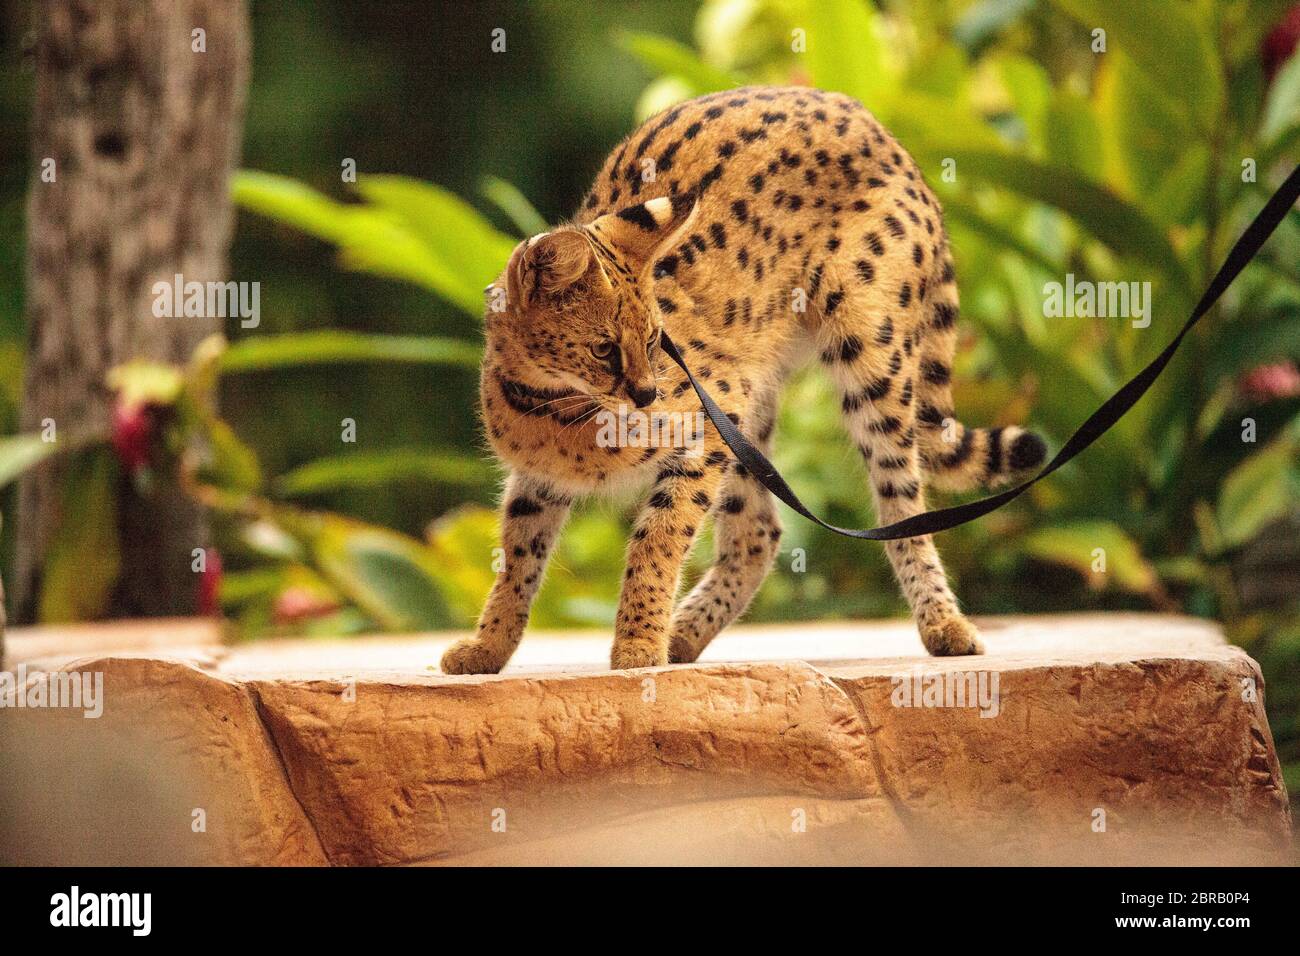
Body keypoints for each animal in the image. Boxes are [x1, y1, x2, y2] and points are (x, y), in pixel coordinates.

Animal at [441, 85, 1046, 675]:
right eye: (604, 349)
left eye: (655, 341)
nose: (647, 394)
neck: (552, 407)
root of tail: (879, 129)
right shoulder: (539, 479)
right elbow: (517, 560)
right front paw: (488, 647)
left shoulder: (708, 423)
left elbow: (657, 539)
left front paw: (638, 645)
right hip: (757, 405)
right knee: (761, 534)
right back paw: (683, 633)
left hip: (870, 358)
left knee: (901, 508)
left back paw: (943, 624)